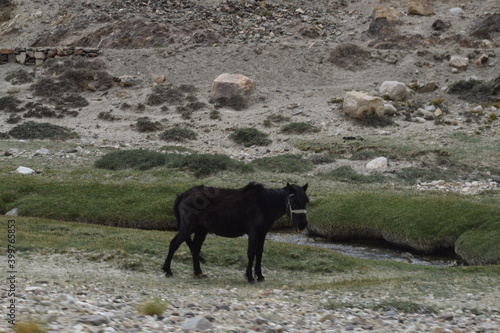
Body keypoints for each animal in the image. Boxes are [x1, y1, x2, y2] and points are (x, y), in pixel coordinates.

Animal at [162, 183, 308, 282]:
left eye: (306, 201)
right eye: (294, 201)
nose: (303, 224)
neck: (264, 203)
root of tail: (184, 194)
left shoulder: (262, 233)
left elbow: (259, 253)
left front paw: (260, 275)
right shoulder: (253, 232)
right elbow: (251, 253)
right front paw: (250, 277)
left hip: (201, 230)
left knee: (196, 249)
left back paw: (198, 273)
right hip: (188, 227)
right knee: (174, 244)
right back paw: (167, 270)